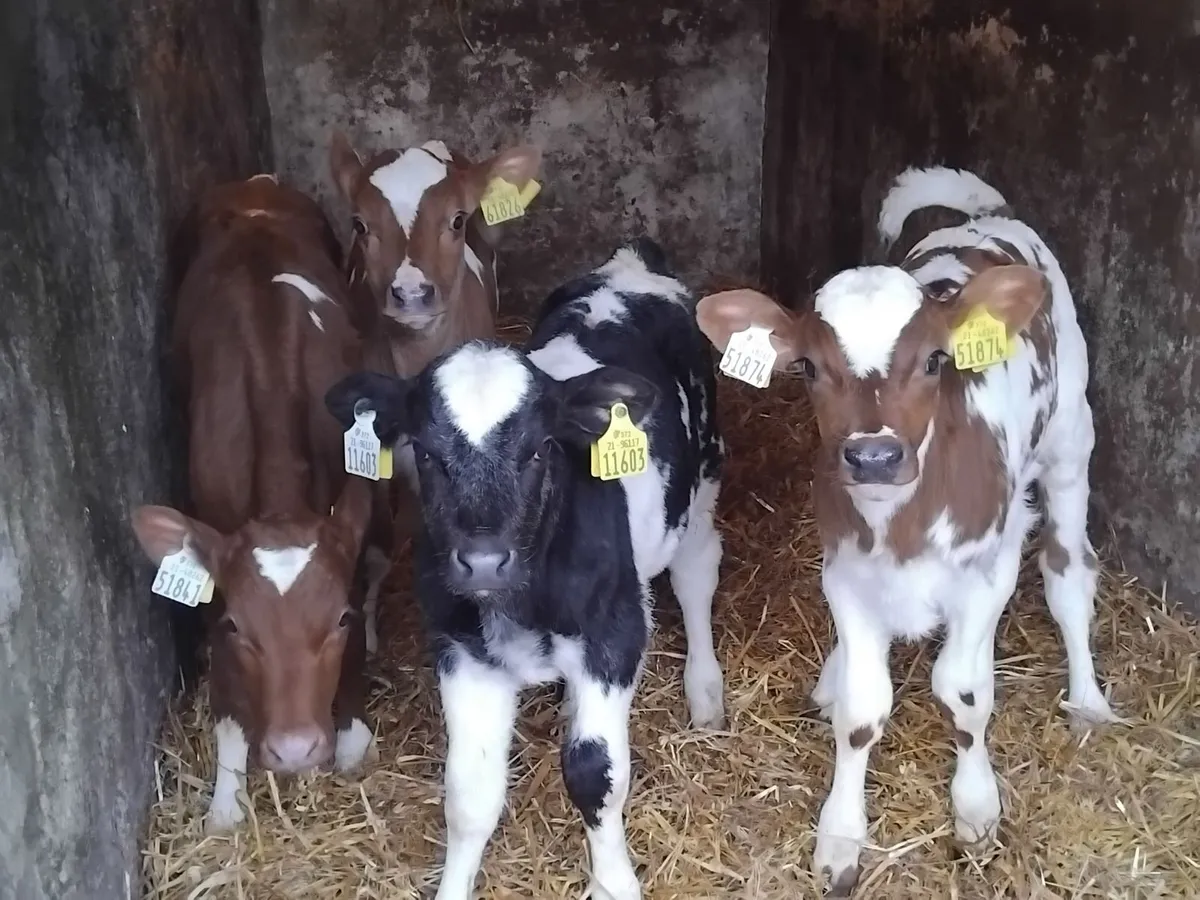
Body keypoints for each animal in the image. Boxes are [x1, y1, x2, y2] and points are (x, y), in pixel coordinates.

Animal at [129, 174, 382, 833]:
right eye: (239, 626)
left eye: (338, 619)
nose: (295, 750)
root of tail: (255, 187)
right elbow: (226, 702)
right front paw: (225, 800)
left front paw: (351, 744)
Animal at [323, 238, 726, 900]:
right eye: (425, 453)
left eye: (540, 449)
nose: (484, 561)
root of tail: (631, 262)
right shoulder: (460, 648)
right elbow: (469, 793)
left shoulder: (612, 634)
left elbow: (594, 772)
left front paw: (614, 881)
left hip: (703, 480)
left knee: (697, 574)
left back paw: (706, 689)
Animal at [695, 166, 1118, 894]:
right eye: (808, 368)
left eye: (935, 361)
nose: (873, 456)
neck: (900, 525)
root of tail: (987, 218)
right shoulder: (845, 572)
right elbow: (863, 710)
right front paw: (840, 836)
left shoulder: (989, 572)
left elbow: (963, 693)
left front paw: (975, 808)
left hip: (1070, 439)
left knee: (1068, 572)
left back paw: (1087, 698)